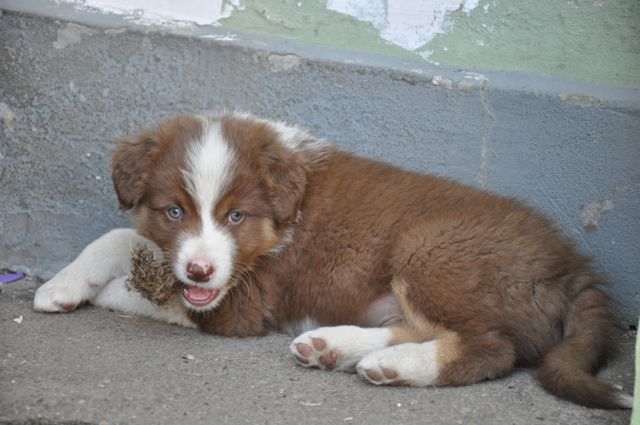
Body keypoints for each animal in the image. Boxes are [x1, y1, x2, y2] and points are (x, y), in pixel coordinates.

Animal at [36, 112, 636, 408]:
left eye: (237, 217)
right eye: (175, 210)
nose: (200, 271)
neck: (286, 210)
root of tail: (571, 267)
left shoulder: (242, 305)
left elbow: (140, 279)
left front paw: (95, 290)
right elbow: (122, 236)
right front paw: (64, 284)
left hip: (428, 251)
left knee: (492, 349)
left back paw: (398, 366)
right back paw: (338, 348)